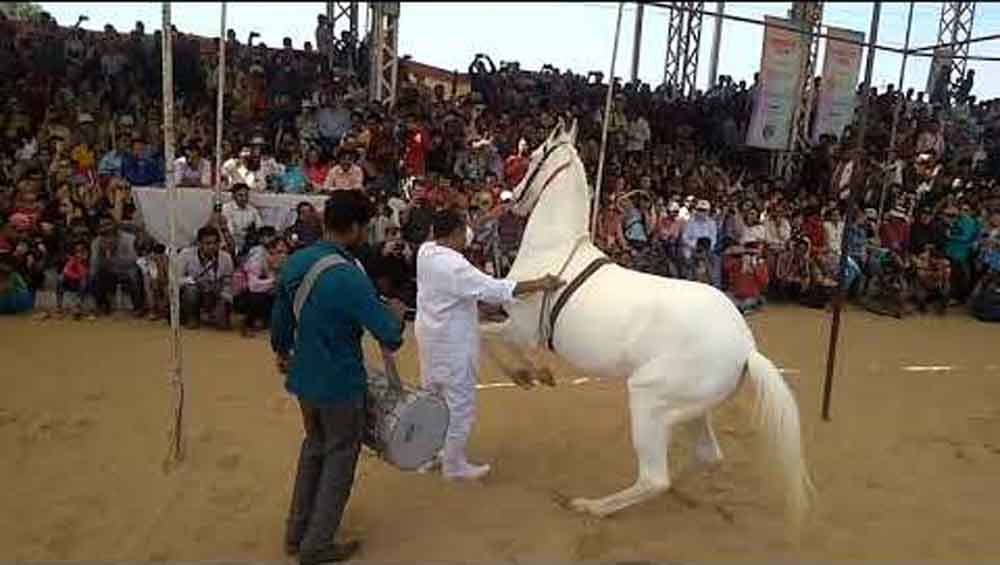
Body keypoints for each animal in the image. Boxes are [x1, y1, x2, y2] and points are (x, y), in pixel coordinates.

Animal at [484, 119, 812, 520]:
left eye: (532, 158)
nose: (511, 198)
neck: (553, 247)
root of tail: (745, 349)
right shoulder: (517, 327)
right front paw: (535, 374)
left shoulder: (520, 328)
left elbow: (483, 336)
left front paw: (526, 375)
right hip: (689, 410)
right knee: (705, 457)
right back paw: (677, 493)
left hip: (649, 399)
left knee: (655, 478)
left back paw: (593, 507)